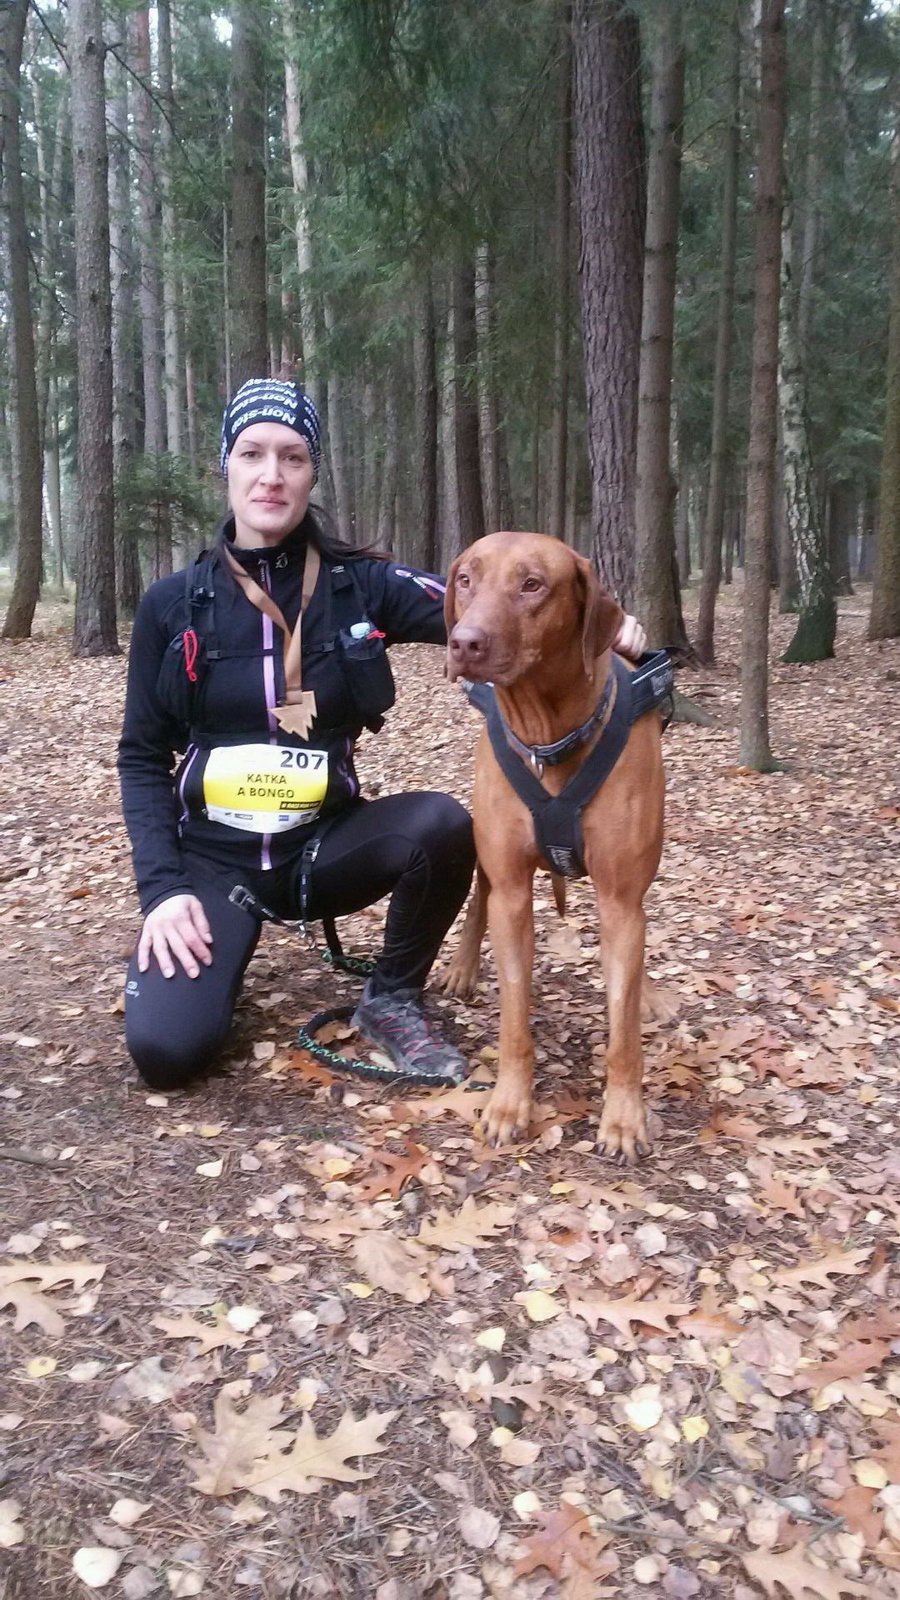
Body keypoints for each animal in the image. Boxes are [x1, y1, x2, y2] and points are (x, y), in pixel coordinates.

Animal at [441, 537, 666, 1164]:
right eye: (465, 579)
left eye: (533, 584)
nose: (464, 641)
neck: (549, 734)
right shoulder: (513, 892)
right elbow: (514, 1017)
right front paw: (508, 1106)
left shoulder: (621, 901)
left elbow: (624, 1030)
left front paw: (623, 1119)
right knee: (479, 894)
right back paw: (463, 967)